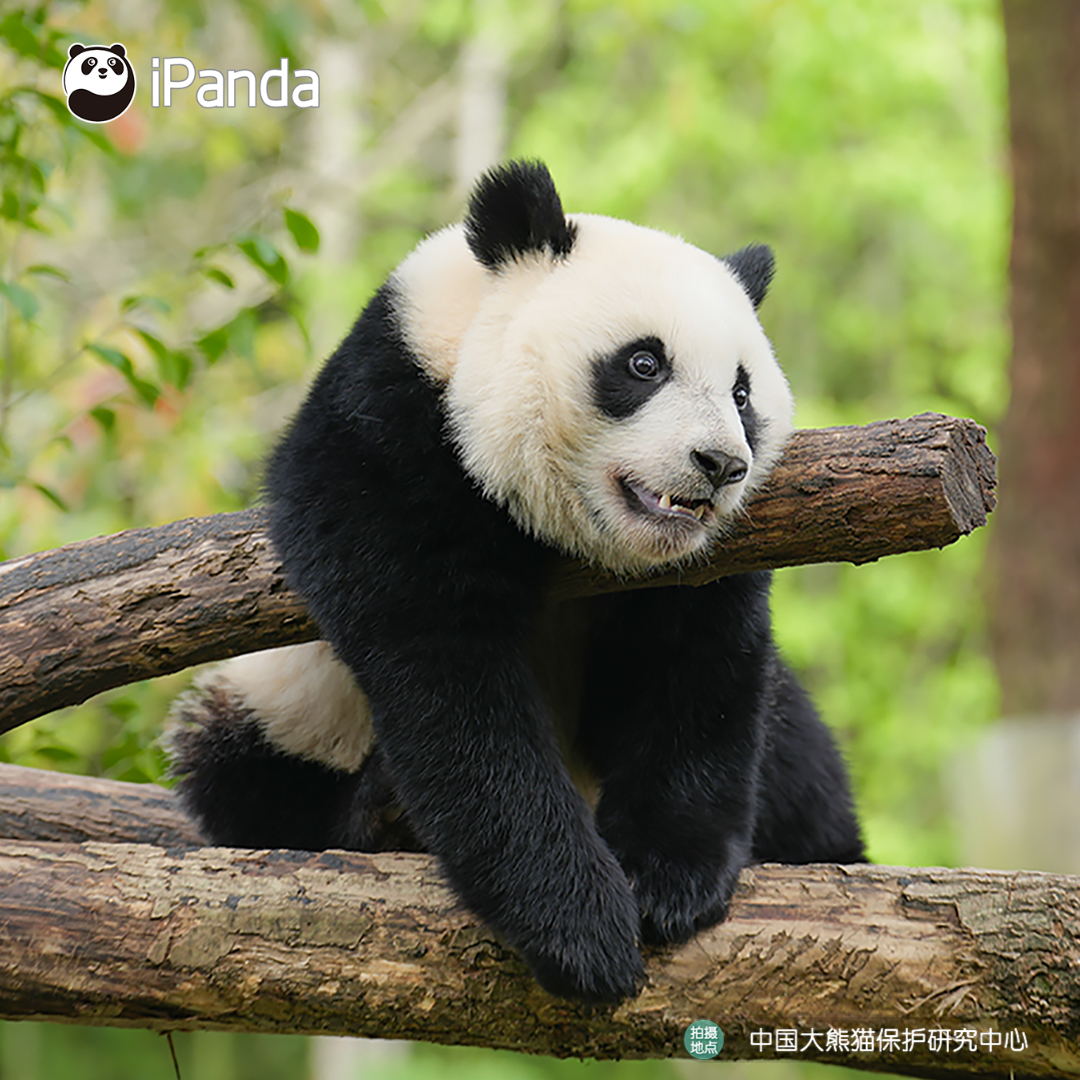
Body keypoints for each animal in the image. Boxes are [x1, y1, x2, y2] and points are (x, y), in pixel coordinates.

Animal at [165, 161, 864, 1004]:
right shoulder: (387, 446)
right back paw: (381, 817)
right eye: (644, 364)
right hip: (275, 707)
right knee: (243, 773)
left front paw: (668, 881)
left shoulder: (703, 569)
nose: (721, 465)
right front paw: (580, 926)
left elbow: (697, 669)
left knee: (799, 763)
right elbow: (449, 683)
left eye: (741, 392)